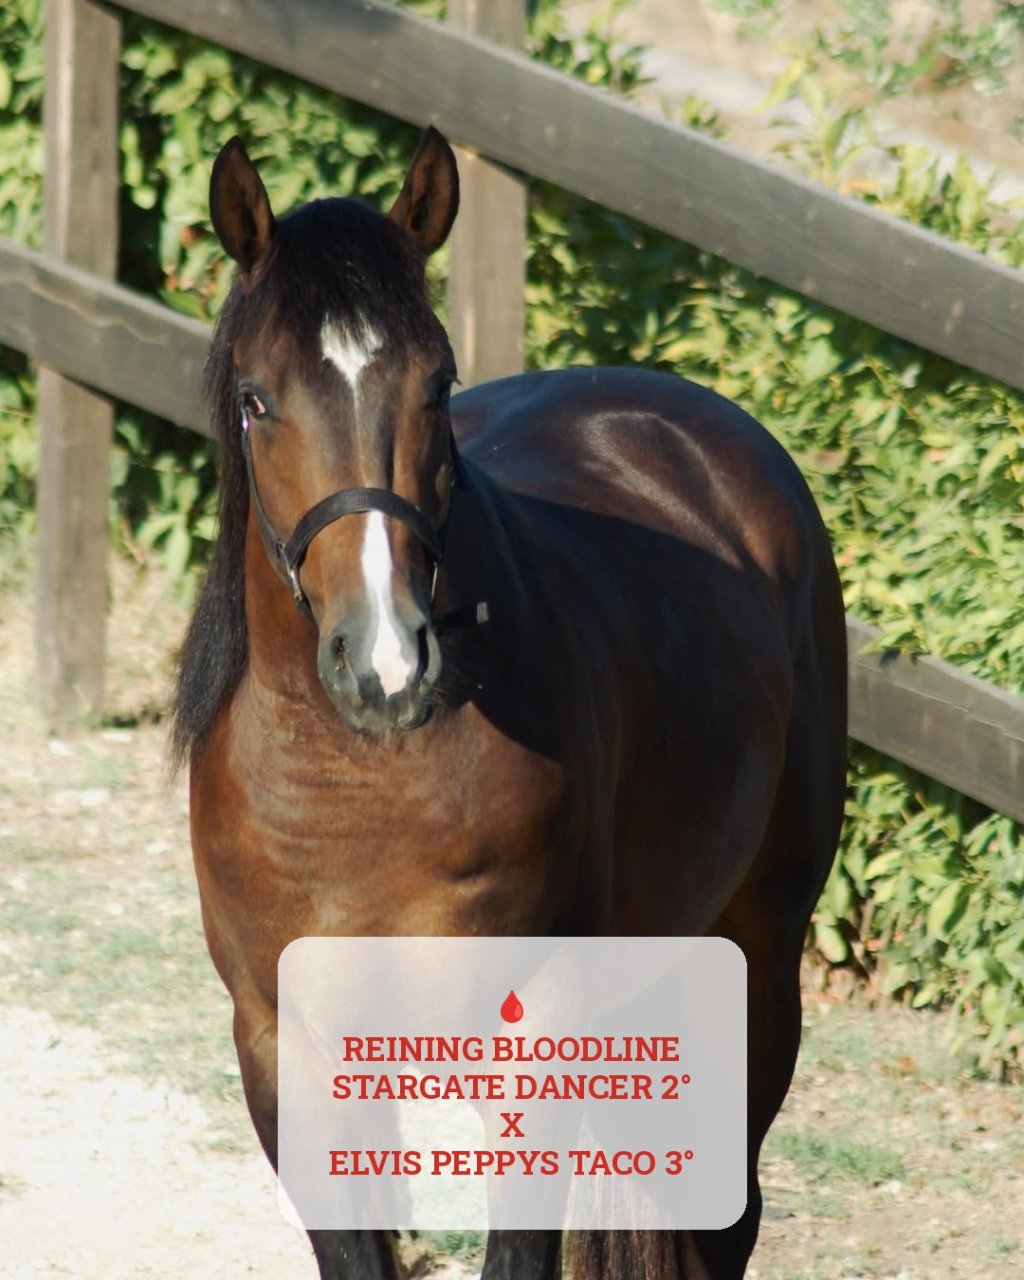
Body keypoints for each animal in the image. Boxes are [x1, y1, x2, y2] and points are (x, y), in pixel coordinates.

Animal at [172, 124, 847, 1280]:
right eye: (256, 398)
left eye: (437, 384)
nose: (388, 662)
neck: (353, 791)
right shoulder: (284, 1046)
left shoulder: (533, 1043)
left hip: (757, 957)